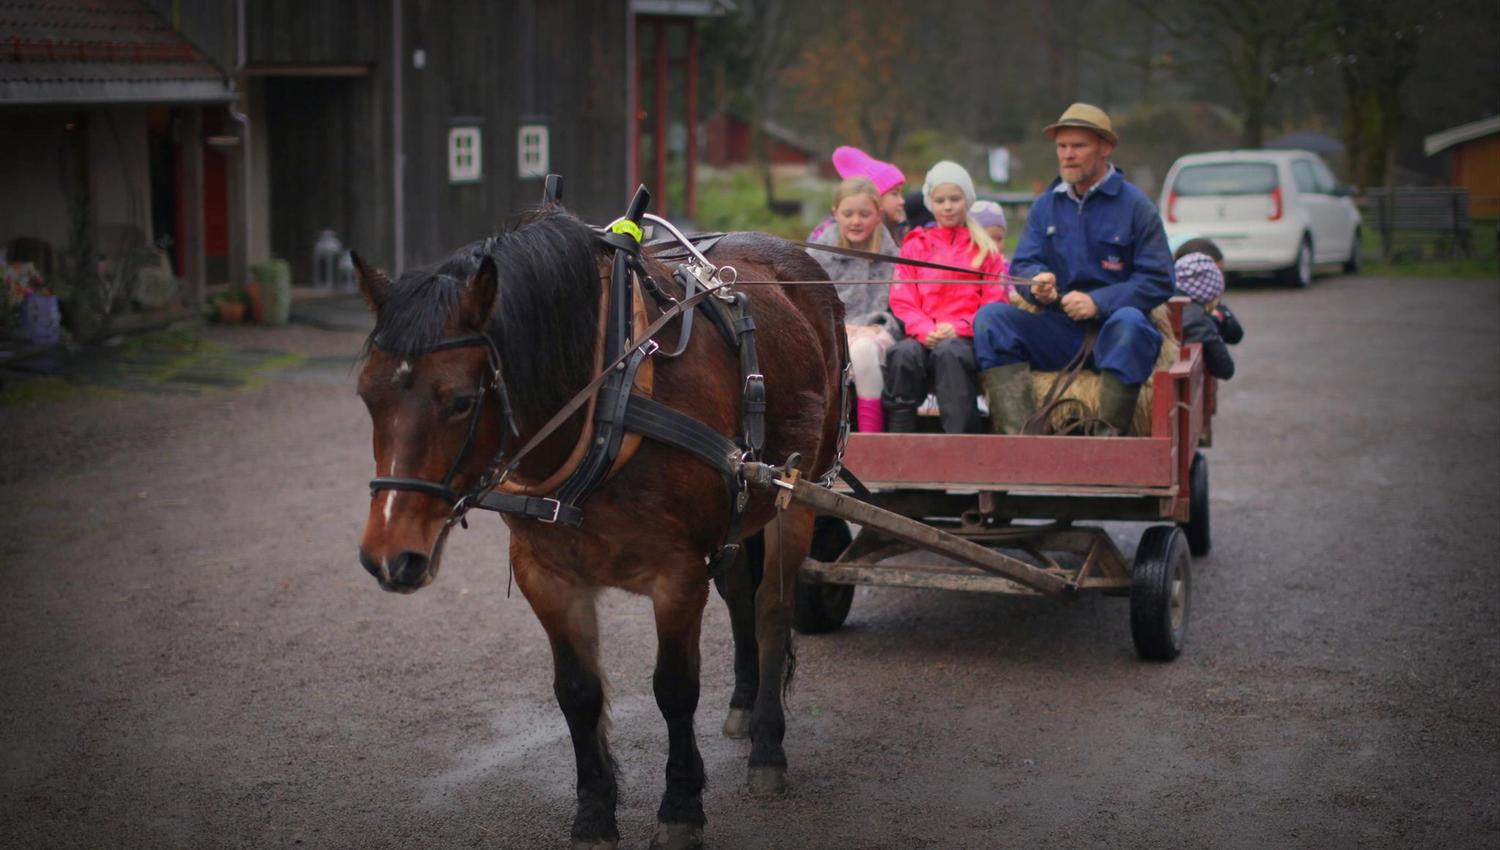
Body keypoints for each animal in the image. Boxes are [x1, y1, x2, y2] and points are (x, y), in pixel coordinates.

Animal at [352, 208, 846, 850]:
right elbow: (577, 693)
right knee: (740, 591)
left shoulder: (678, 575)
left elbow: (674, 689)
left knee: (771, 611)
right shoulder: (546, 576)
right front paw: (592, 814)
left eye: (460, 401)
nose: (389, 555)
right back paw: (742, 704)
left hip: (797, 493)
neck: (612, 397)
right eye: (367, 394)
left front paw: (681, 808)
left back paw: (766, 745)